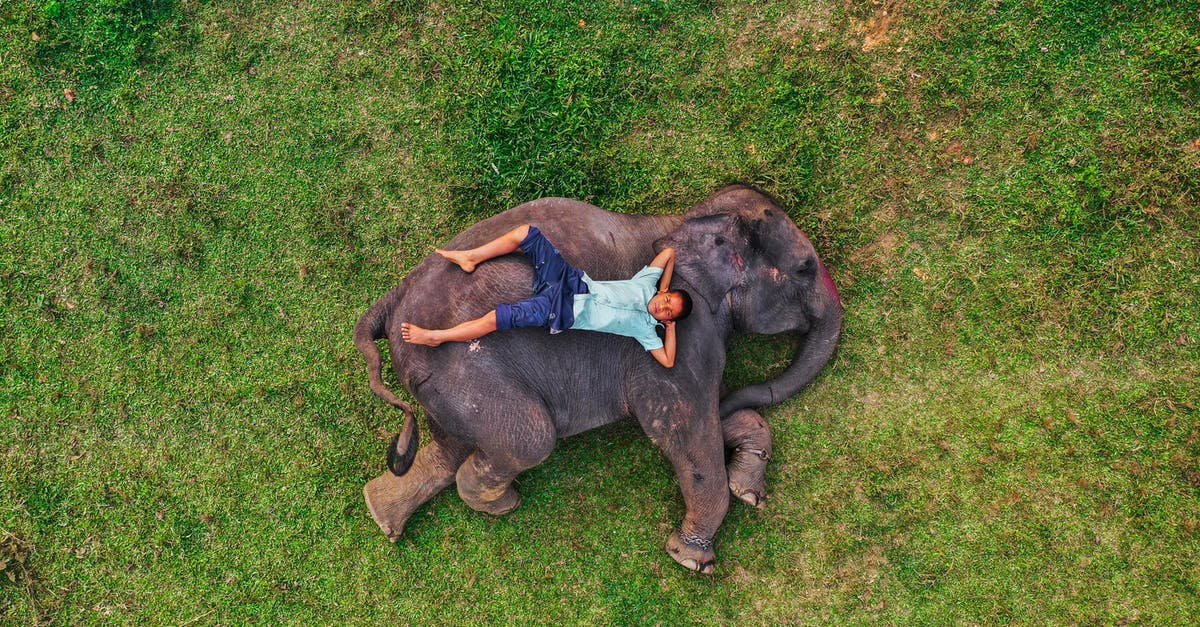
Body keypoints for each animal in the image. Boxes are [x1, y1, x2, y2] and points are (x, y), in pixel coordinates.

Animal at [355, 182, 844, 569]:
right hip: (466, 373)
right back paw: (504, 504)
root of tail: (390, 305)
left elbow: (706, 416)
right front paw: (690, 559)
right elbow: (681, 430)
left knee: (455, 445)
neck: (686, 217)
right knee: (529, 438)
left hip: (444, 383)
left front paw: (747, 489)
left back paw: (382, 515)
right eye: (805, 268)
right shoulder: (683, 337)